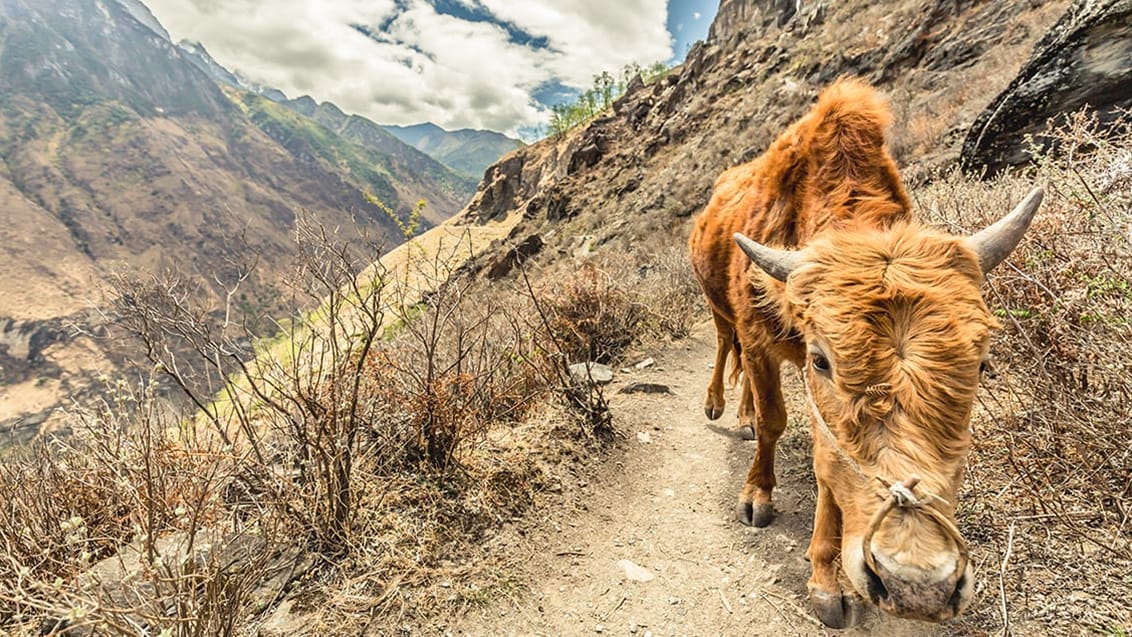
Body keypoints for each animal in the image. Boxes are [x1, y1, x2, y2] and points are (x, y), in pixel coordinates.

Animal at [683, 75, 1036, 629]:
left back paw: (739, 415)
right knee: (725, 345)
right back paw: (719, 405)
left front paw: (825, 579)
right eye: (821, 360)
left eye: (981, 364)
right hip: (718, 306)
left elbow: (829, 465)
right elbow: (774, 422)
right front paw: (757, 493)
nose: (917, 586)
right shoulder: (761, 342)